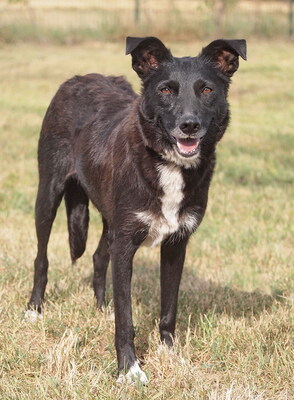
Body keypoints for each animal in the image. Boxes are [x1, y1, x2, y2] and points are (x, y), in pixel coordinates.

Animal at [25, 37, 246, 384]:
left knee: (98, 257)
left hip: (109, 216)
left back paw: (100, 309)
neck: (167, 163)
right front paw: (129, 370)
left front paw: (170, 355)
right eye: (166, 90)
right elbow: (125, 317)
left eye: (207, 89)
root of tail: (79, 78)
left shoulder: (175, 244)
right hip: (48, 192)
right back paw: (34, 309)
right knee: (41, 257)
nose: (189, 126)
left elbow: (169, 308)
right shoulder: (126, 243)